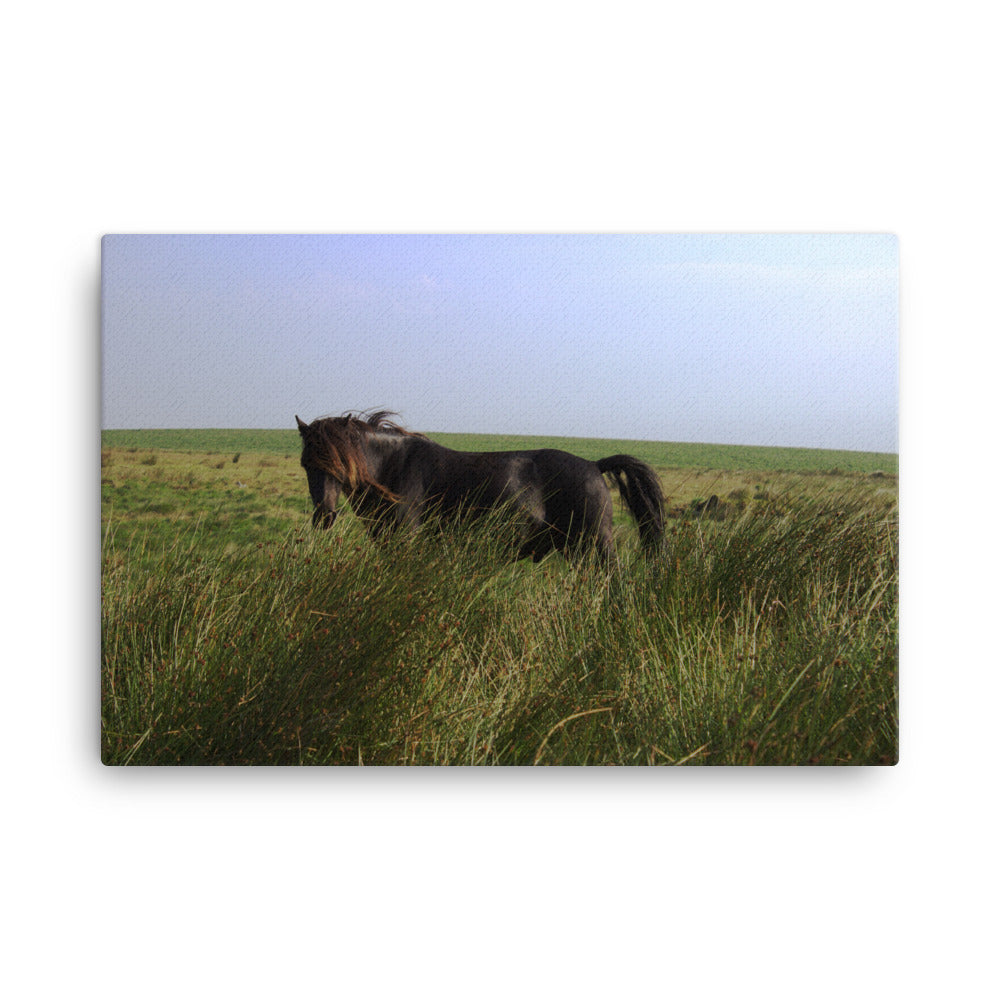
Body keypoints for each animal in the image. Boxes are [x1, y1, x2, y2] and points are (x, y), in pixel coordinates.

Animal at [295, 411, 665, 565]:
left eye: (339, 466)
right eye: (306, 465)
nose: (324, 516)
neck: (393, 468)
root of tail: (593, 465)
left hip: (596, 546)